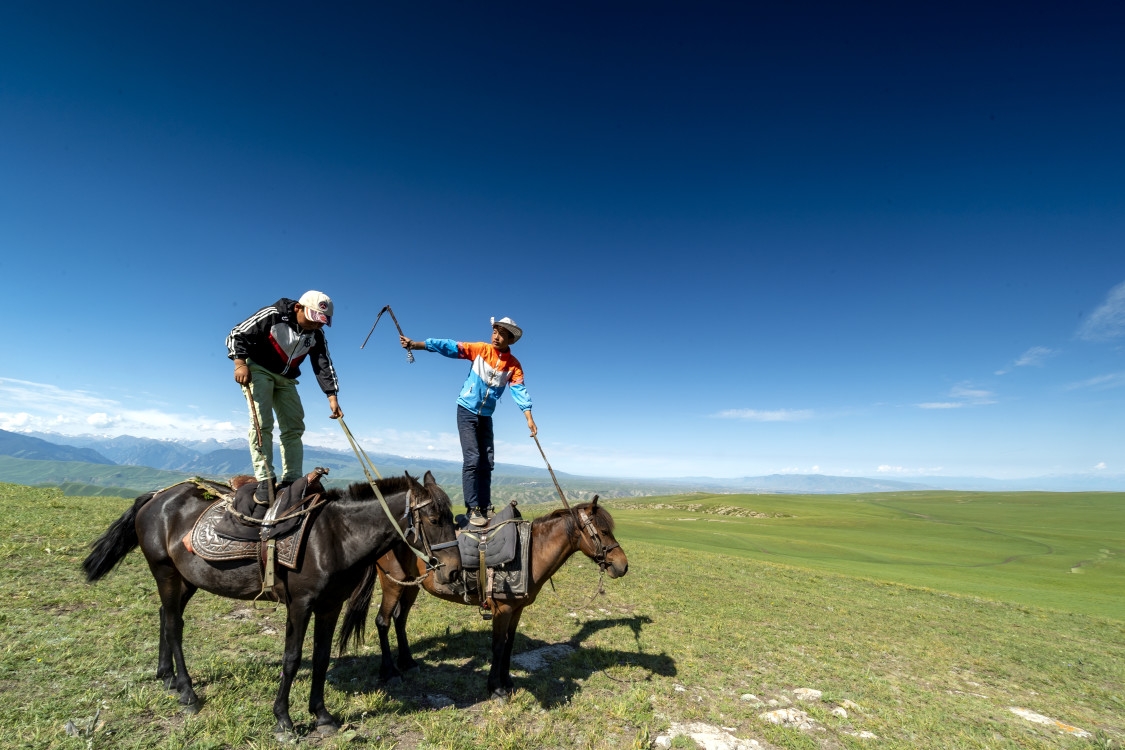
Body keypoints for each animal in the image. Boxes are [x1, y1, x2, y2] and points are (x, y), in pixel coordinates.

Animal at [82, 472, 461, 737]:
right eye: (433, 520)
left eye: (452, 517)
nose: (454, 571)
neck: (336, 536)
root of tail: (157, 496)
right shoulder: (300, 604)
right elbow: (291, 659)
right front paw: (284, 720)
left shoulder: (330, 606)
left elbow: (321, 658)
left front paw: (322, 716)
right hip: (166, 573)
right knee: (174, 625)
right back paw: (186, 691)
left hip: (186, 579)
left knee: (165, 615)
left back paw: (166, 677)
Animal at [337, 494, 630, 701]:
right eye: (604, 531)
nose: (622, 565)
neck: (531, 551)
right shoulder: (502, 609)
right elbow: (498, 646)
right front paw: (495, 688)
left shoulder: (517, 610)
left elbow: (509, 644)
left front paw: (508, 681)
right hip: (392, 583)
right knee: (383, 621)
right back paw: (389, 673)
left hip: (411, 585)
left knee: (400, 619)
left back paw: (407, 662)